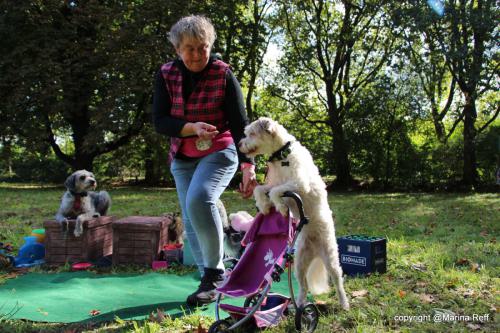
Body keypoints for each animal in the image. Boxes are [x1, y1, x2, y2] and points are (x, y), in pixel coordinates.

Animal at [239, 116, 350, 308]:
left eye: (251, 134)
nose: (239, 144)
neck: (282, 156)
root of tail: (314, 249)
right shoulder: (273, 184)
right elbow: (259, 189)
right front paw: (264, 206)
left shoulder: (298, 183)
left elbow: (276, 192)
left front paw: (281, 208)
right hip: (299, 263)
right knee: (304, 287)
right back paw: (297, 305)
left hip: (330, 259)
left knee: (337, 281)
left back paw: (344, 304)